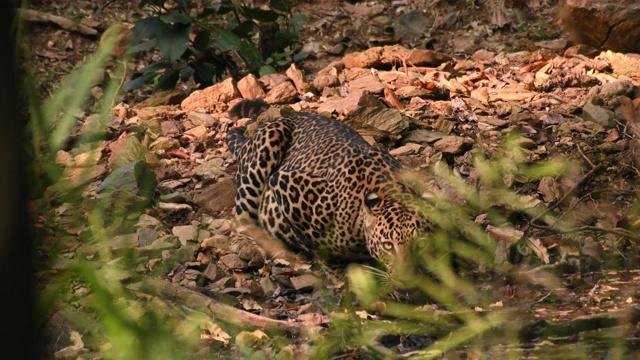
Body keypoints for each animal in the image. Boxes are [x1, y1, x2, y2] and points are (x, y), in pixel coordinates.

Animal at [225, 98, 430, 272]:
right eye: (388, 246)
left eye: (420, 244)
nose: (407, 274)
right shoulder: (285, 182)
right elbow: (313, 242)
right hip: (265, 148)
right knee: (241, 218)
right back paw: (248, 246)